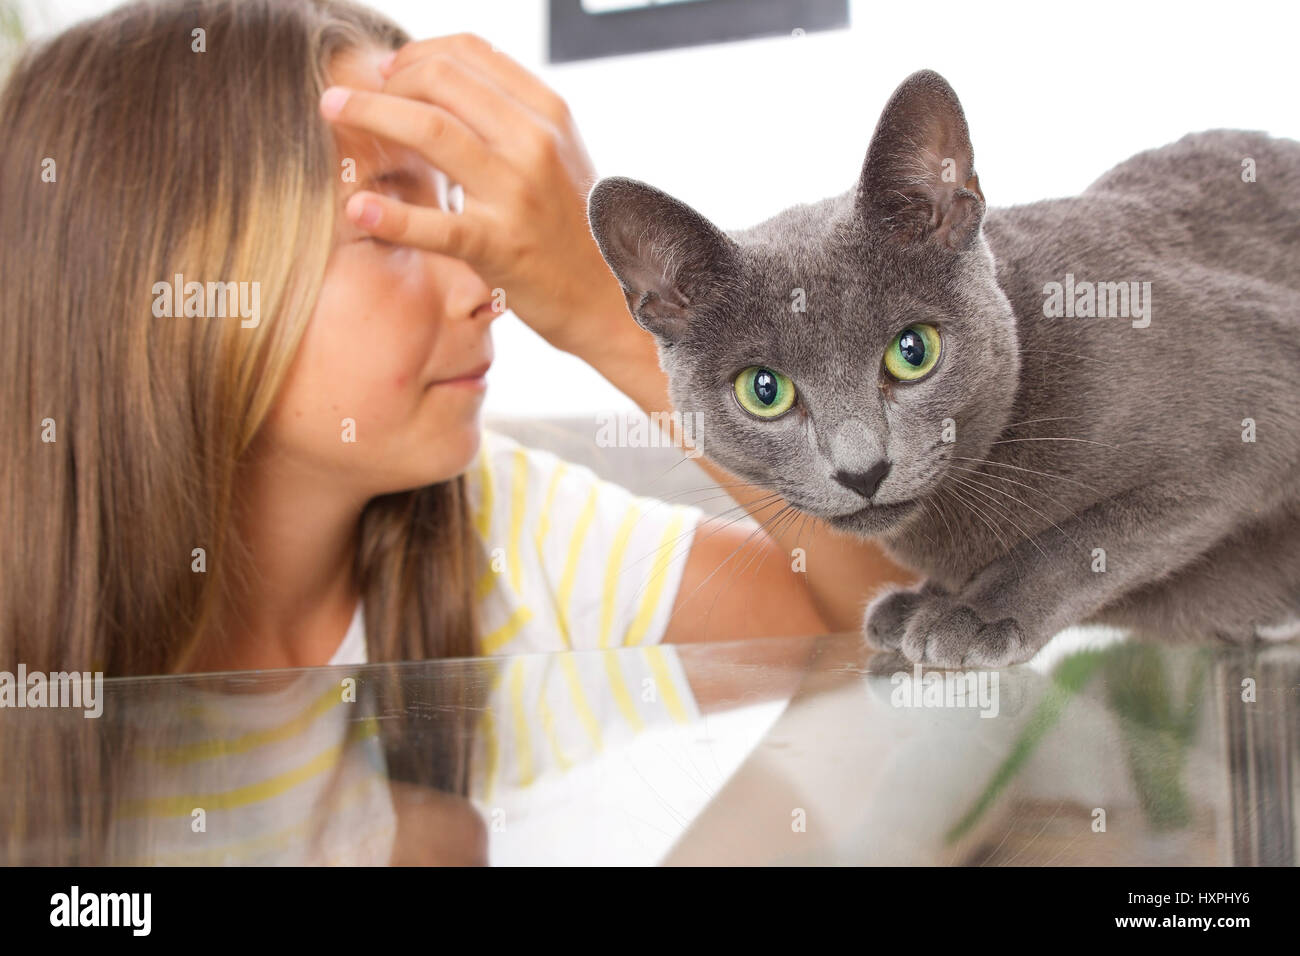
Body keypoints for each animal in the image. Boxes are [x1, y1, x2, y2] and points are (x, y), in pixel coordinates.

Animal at [590, 69, 1300, 665]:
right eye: (763, 390)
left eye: (913, 351)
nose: (863, 470)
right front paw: (925, 599)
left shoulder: (1255, 414)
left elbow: (1089, 538)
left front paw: (976, 612)